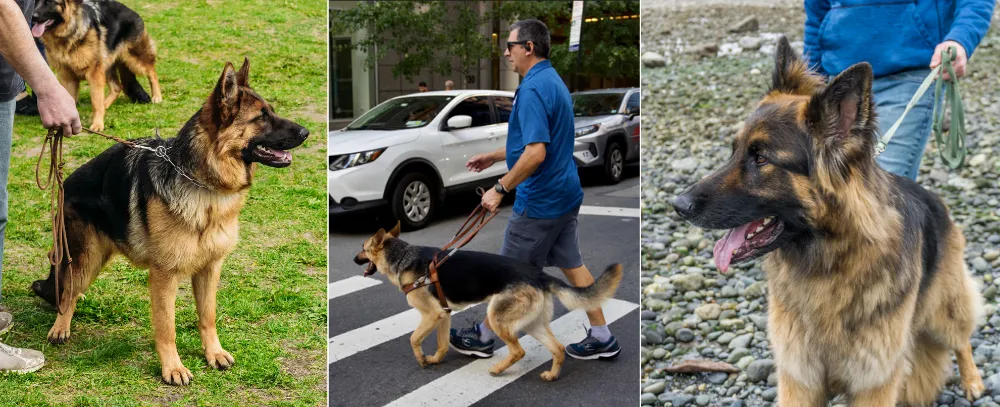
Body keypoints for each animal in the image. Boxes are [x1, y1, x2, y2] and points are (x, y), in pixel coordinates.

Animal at [30, 0, 163, 131]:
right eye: (36, 2)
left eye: (50, 2)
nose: (33, 17)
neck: (69, 32)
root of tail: (131, 11)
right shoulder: (67, 77)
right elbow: (70, 99)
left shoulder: (94, 74)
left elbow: (95, 101)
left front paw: (98, 123)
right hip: (107, 65)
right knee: (116, 87)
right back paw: (105, 104)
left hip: (134, 59)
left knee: (152, 71)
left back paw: (157, 96)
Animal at [31, 58, 308, 386]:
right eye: (261, 117)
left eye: (272, 111)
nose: (306, 132)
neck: (206, 186)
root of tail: (67, 180)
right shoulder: (164, 276)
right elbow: (167, 327)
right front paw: (173, 368)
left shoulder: (210, 269)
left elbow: (208, 316)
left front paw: (213, 353)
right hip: (86, 258)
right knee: (67, 291)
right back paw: (61, 326)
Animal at [352, 223, 616, 382]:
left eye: (362, 248)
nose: (354, 259)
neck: (403, 256)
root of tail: (539, 275)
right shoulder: (443, 315)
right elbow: (442, 343)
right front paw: (435, 359)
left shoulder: (431, 315)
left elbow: (413, 338)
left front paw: (422, 360)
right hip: (532, 324)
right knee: (558, 348)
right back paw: (552, 375)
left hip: (498, 317)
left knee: (518, 351)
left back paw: (498, 369)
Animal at [672, 36, 984, 406]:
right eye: (734, 151)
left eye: (761, 158)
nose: (678, 205)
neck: (829, 261)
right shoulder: (799, 377)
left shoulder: (874, 381)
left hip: (943, 309)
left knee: (961, 340)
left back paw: (973, 381)